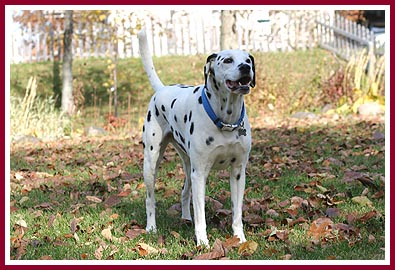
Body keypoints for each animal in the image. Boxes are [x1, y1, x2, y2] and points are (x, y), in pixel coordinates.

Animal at [139, 29, 255, 247]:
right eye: (227, 60)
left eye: (248, 60)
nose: (245, 68)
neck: (226, 121)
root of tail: (162, 89)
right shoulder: (200, 174)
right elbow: (201, 215)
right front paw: (202, 242)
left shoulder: (238, 172)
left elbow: (236, 212)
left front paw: (239, 238)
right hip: (151, 163)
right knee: (150, 199)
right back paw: (151, 227)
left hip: (188, 167)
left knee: (184, 193)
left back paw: (185, 218)